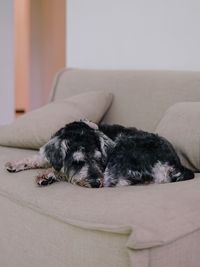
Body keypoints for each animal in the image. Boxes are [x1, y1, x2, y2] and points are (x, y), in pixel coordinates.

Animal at [5, 120, 194, 187]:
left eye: (99, 160)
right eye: (77, 162)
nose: (97, 183)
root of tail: (175, 166)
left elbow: (61, 171)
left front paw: (47, 175)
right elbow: (37, 157)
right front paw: (14, 164)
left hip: (123, 150)